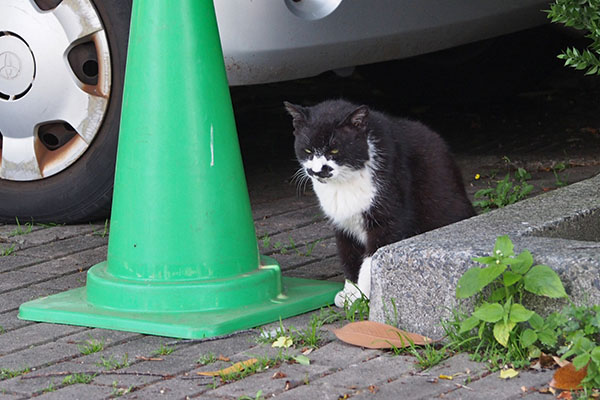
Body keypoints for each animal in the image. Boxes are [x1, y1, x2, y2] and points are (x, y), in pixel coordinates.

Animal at [284, 100, 476, 306]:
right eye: (308, 150)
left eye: (334, 150)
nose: (318, 170)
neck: (345, 182)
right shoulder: (342, 224)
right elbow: (348, 256)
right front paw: (350, 291)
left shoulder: (389, 218)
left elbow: (372, 258)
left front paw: (362, 295)